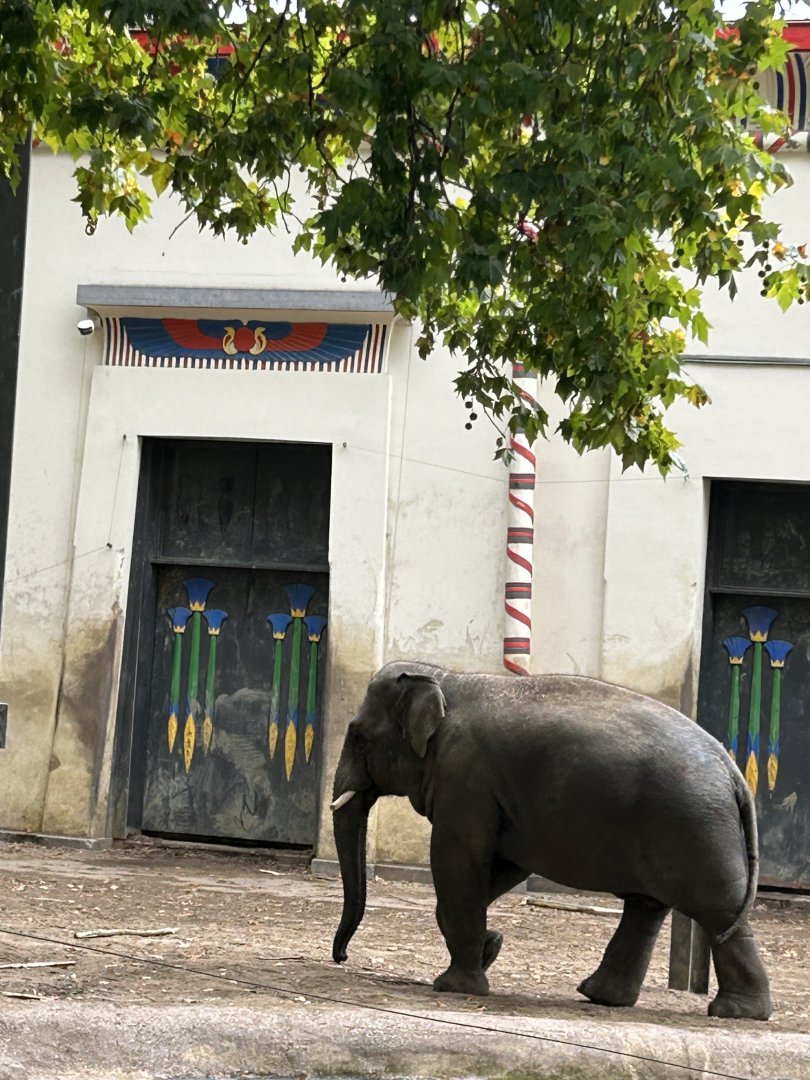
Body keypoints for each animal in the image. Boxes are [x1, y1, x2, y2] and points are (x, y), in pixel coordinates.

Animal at [330, 661, 772, 1020]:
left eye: (358, 737)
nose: (342, 957)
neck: (446, 677)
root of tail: (731, 769)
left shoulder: (464, 776)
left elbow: (460, 859)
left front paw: (455, 985)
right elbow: (502, 865)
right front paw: (490, 947)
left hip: (693, 826)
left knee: (716, 909)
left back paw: (736, 1012)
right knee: (649, 908)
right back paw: (603, 997)